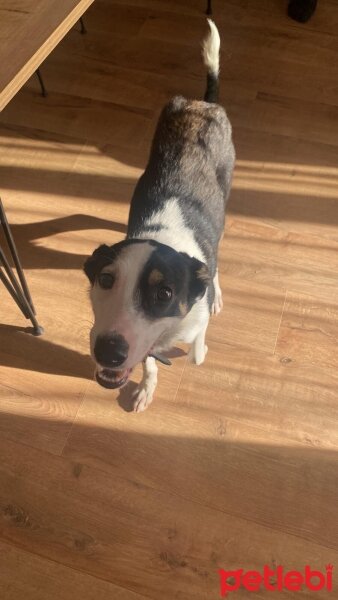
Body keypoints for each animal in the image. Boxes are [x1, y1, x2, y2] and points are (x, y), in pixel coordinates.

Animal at [84, 19, 235, 412]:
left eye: (165, 292)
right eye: (105, 279)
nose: (108, 352)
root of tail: (204, 103)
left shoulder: (193, 320)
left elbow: (197, 345)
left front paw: (198, 351)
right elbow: (149, 363)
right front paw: (146, 386)